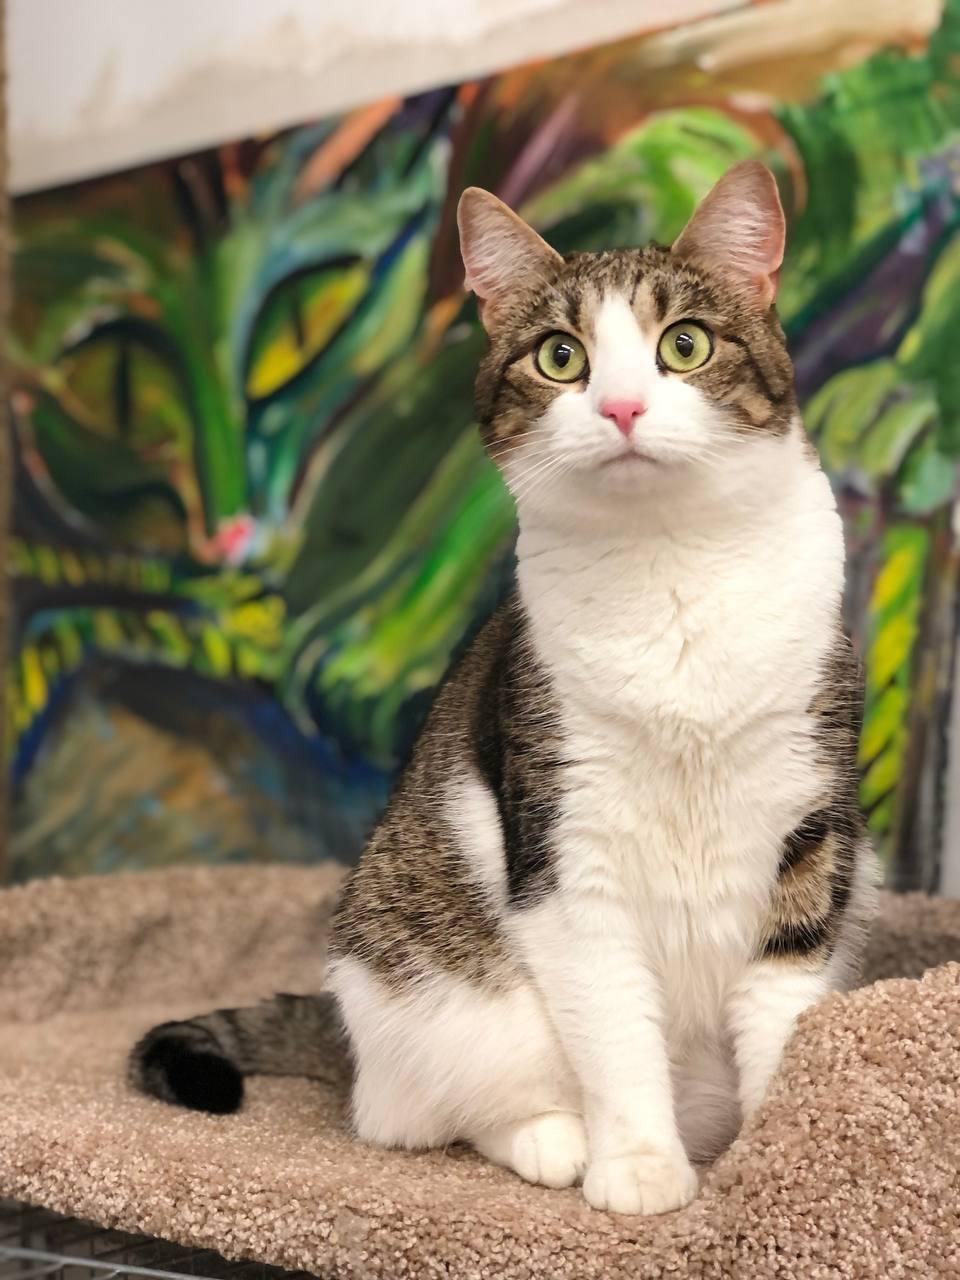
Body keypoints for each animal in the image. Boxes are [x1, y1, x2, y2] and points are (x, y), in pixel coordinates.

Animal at [130, 160, 877, 1216]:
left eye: (684, 345)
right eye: (561, 358)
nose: (621, 408)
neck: (671, 570)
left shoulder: (811, 827)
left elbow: (782, 998)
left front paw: (777, 1159)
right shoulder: (565, 841)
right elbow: (614, 1025)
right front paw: (638, 1168)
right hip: (437, 987)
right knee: (419, 1111)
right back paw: (554, 1140)